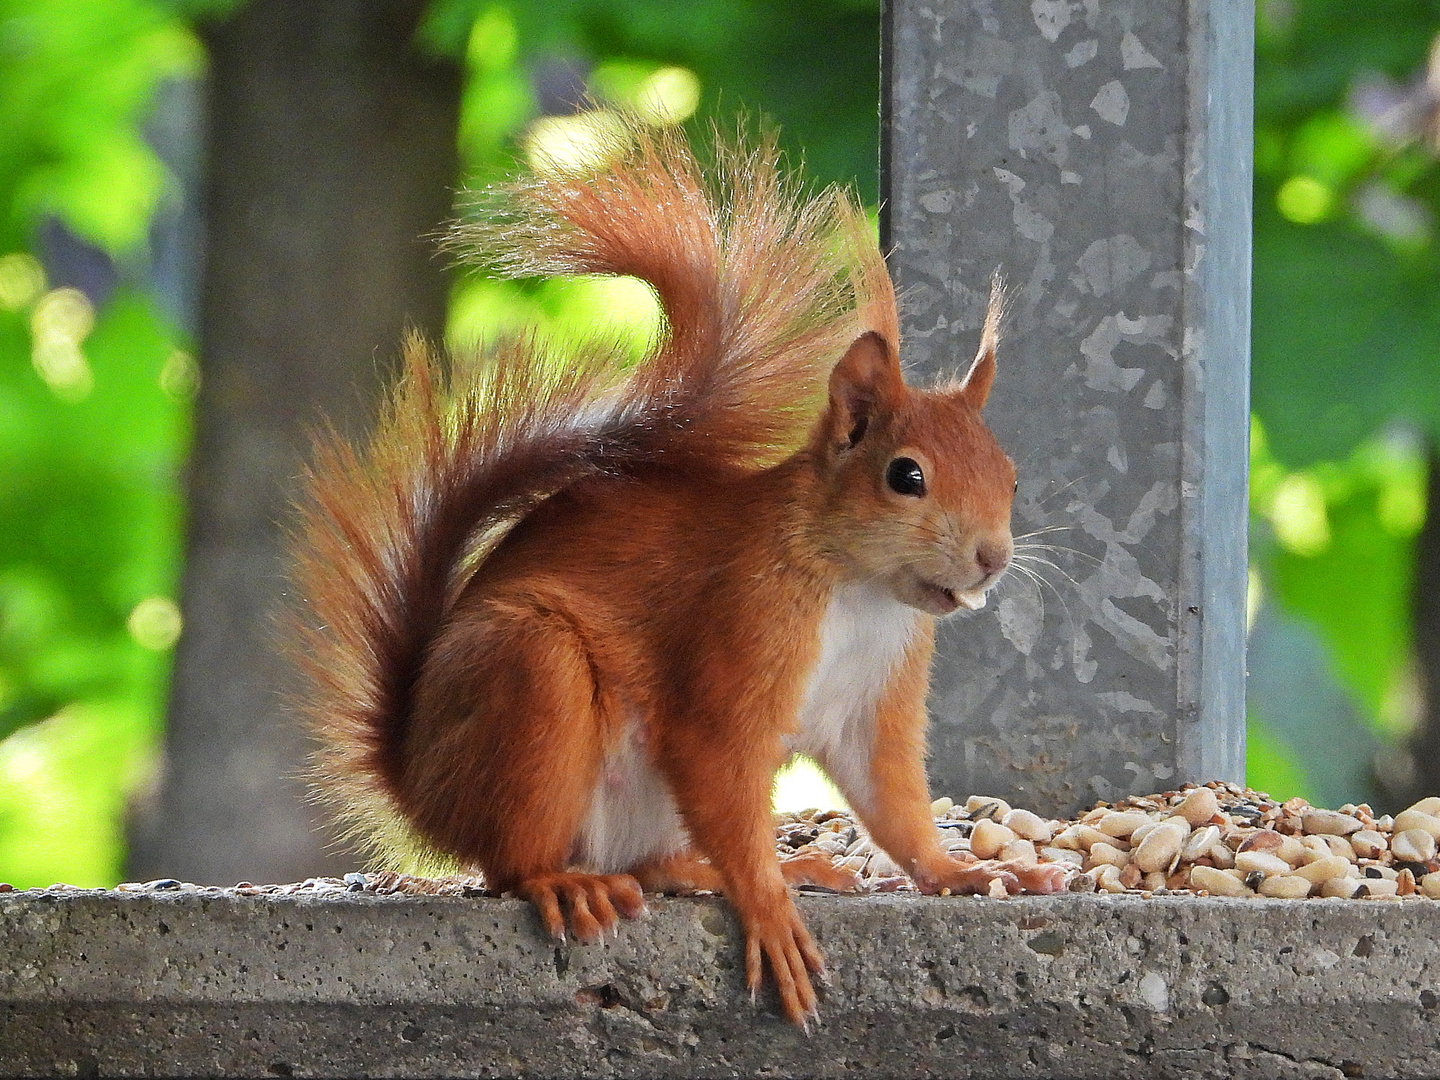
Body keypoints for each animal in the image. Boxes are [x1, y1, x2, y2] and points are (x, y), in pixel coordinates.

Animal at [286, 122, 1071, 1025]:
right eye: (904, 476)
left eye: (1012, 478)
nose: (994, 556)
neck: (860, 592)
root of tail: (418, 784)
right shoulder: (736, 633)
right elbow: (718, 759)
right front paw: (769, 910)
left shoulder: (876, 700)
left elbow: (895, 805)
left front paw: (962, 873)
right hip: (532, 677)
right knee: (512, 862)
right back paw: (567, 882)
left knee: (653, 864)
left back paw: (746, 868)